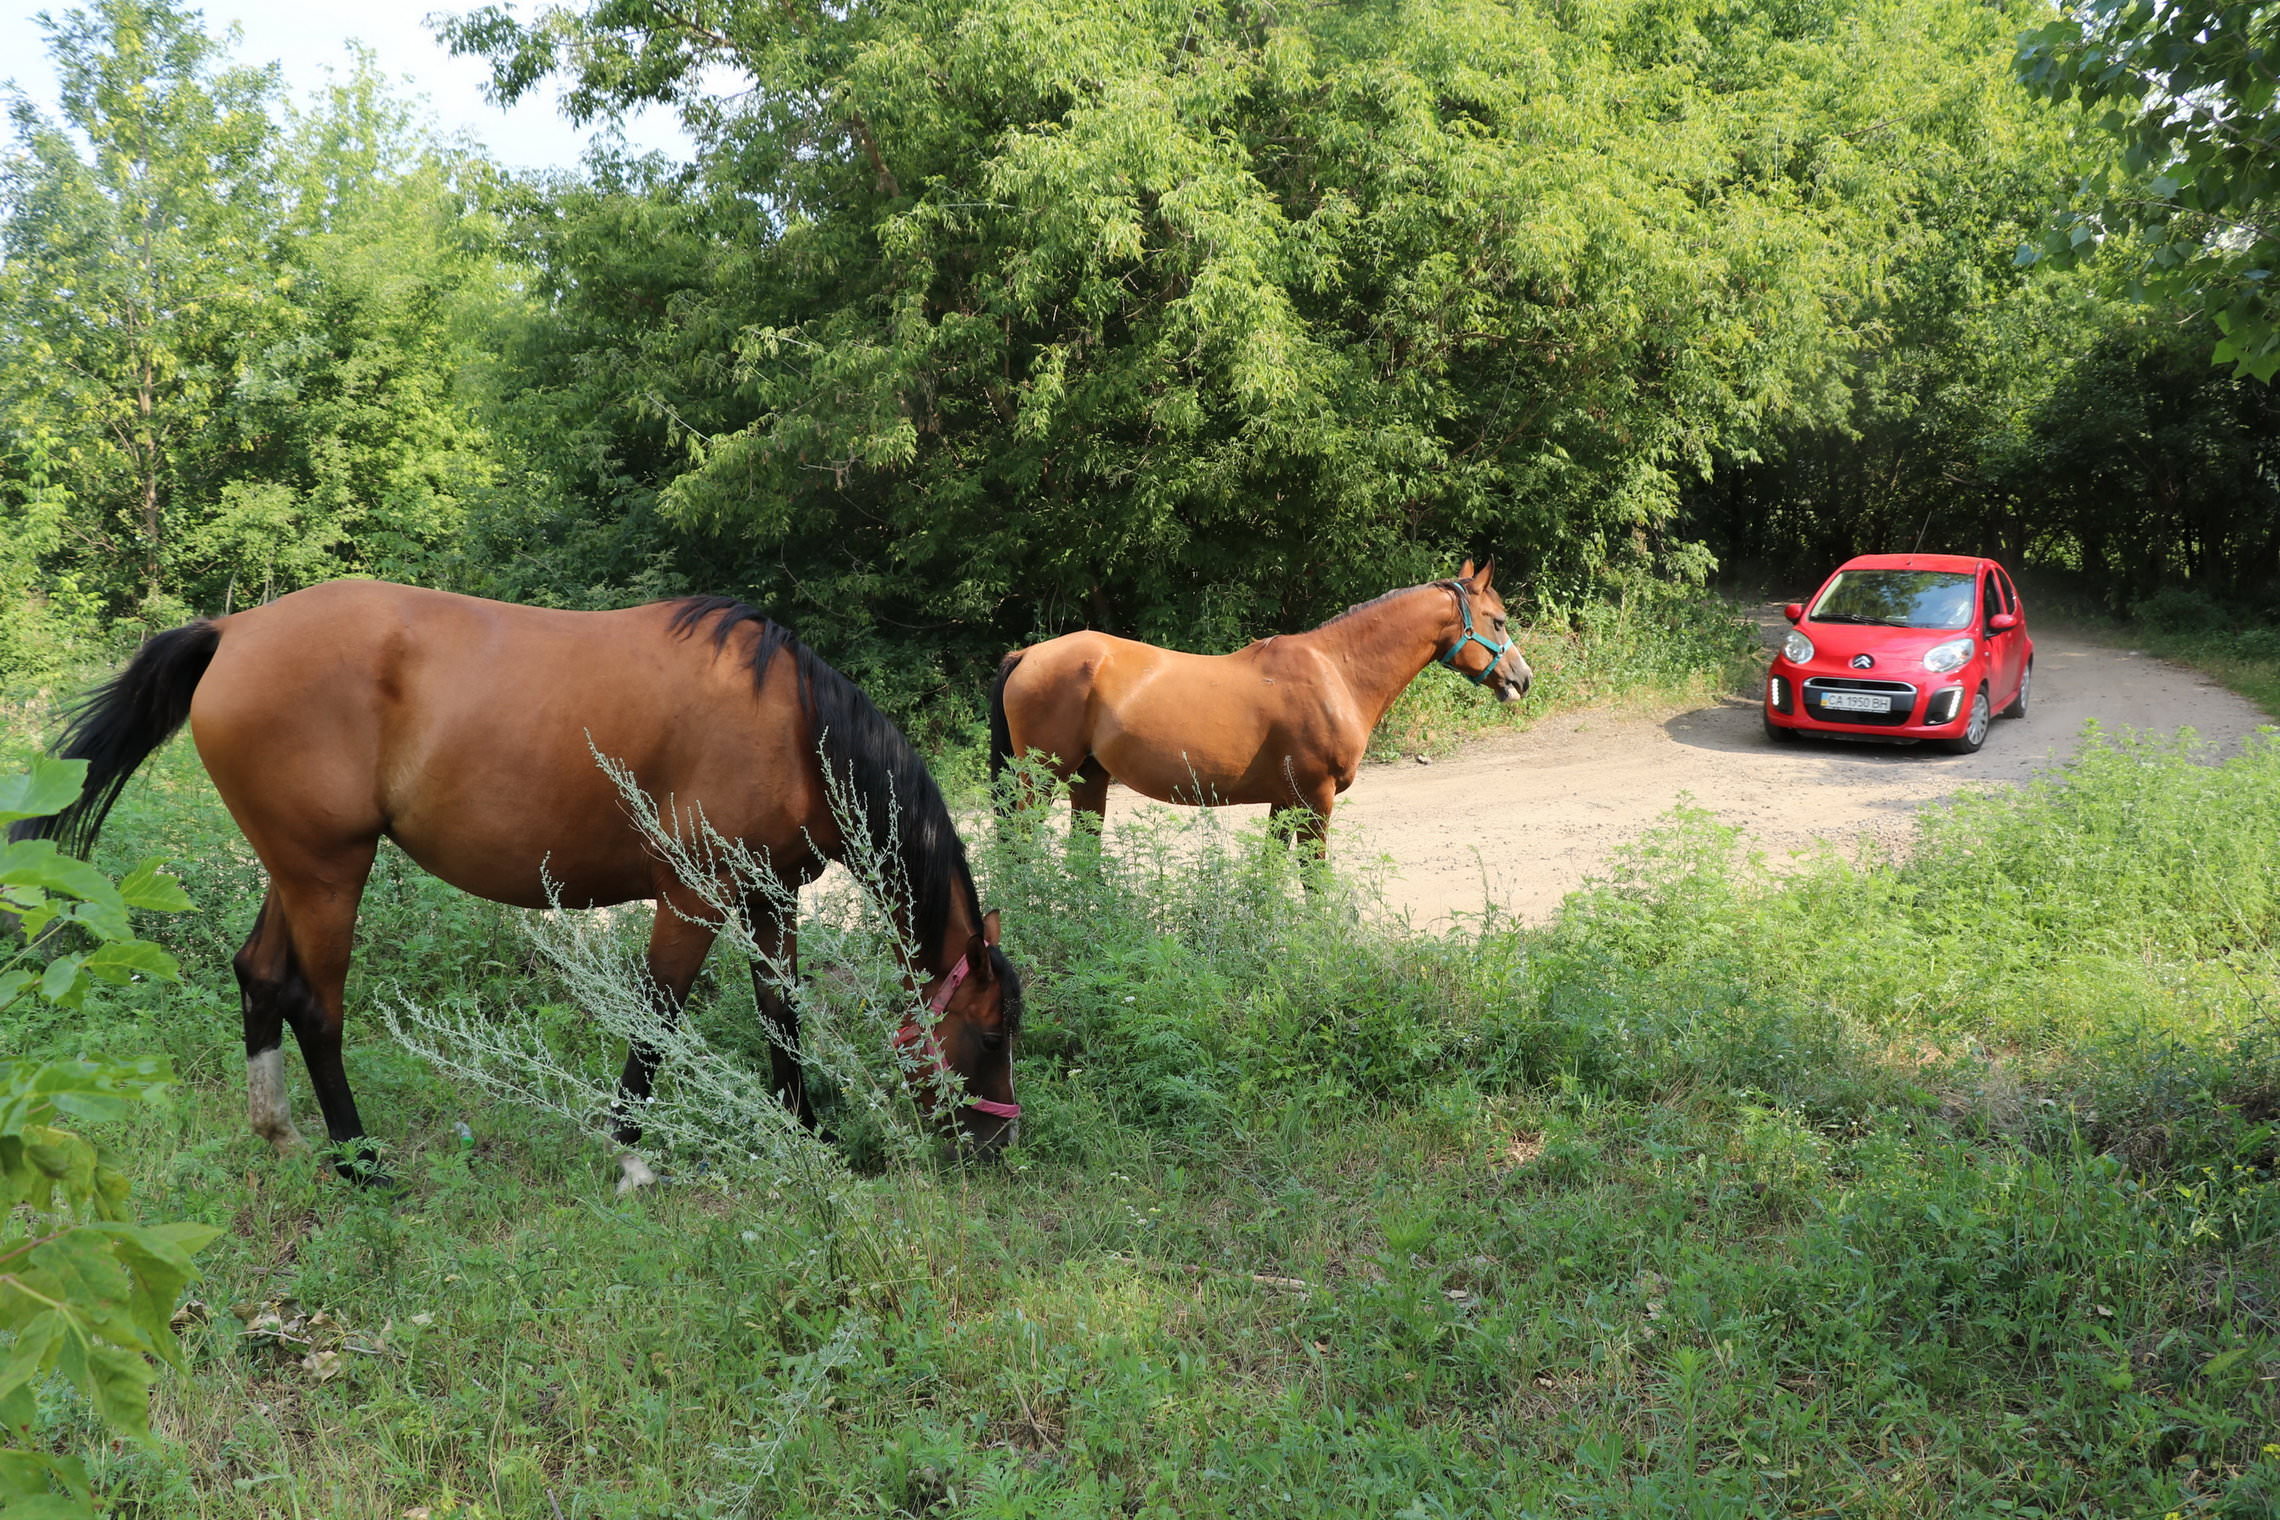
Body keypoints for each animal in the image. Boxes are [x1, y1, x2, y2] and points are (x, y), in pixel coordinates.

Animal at [13, 583, 1021, 1185]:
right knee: (314, 1007)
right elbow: (656, 1017)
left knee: (260, 976)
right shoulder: (692, 899)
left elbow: (783, 1015)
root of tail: (232, 631)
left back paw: (284, 1132)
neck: (791, 727)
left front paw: (806, 1133)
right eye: (989, 1032)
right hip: (331, 874)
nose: (996, 1143)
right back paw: (362, 1161)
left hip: (296, 867)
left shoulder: (771, 899)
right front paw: (629, 1155)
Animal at [994, 562, 1532, 856]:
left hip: (1089, 780)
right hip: (1040, 781)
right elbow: (1313, 879)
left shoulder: (1285, 802)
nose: (1521, 679)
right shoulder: (1315, 800)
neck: (1336, 670)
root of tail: (1027, 655)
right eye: (1499, 620)